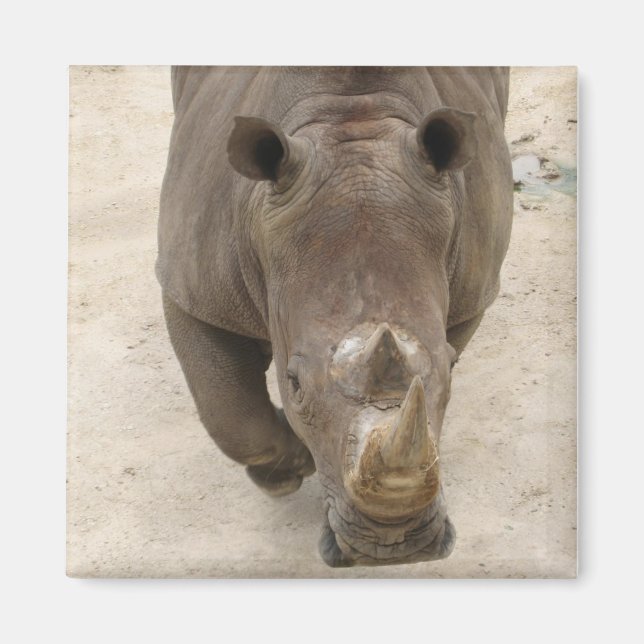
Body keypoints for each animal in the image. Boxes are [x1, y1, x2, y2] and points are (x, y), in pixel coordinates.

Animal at [157, 66, 513, 568]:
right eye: (294, 385)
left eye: (452, 370)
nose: (393, 549)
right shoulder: (193, 288)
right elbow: (225, 410)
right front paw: (289, 471)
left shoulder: (473, 289)